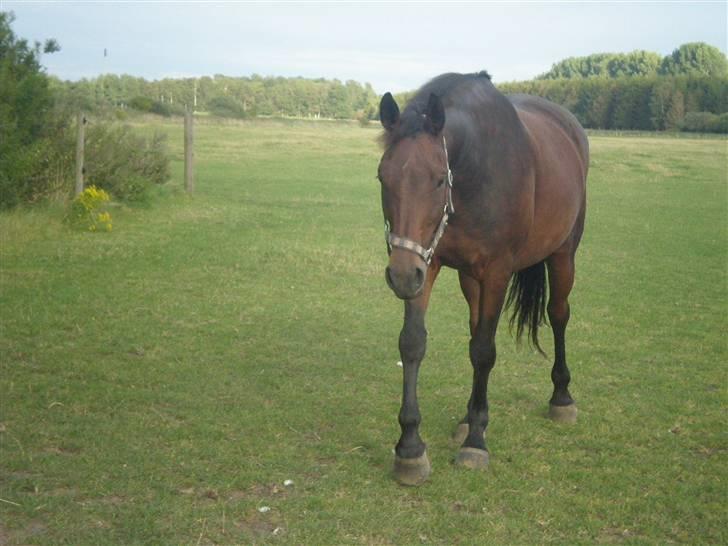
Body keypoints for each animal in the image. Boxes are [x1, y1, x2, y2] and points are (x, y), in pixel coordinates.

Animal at [378, 72, 588, 484]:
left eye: (438, 180)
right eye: (382, 177)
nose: (400, 275)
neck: (475, 168)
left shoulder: (496, 272)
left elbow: (485, 352)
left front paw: (476, 440)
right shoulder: (427, 262)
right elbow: (413, 343)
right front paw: (411, 447)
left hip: (563, 254)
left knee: (558, 314)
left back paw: (561, 397)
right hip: (467, 278)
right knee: (476, 329)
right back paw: (466, 417)